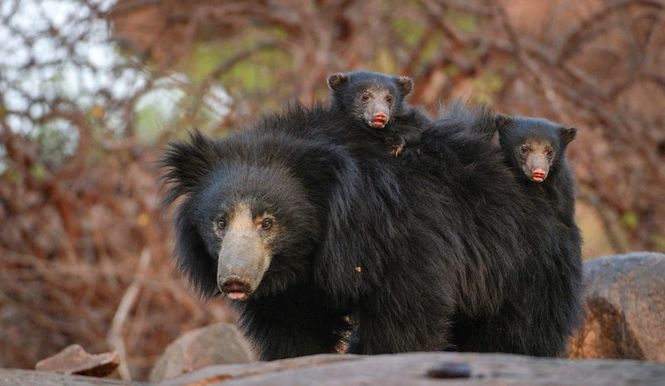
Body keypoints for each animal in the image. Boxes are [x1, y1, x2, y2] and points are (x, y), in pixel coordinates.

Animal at [161, 104, 580, 360]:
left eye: (268, 222)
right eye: (220, 222)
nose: (234, 280)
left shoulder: (403, 236)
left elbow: (408, 313)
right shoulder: (291, 289)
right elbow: (292, 329)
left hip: (524, 264)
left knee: (520, 331)